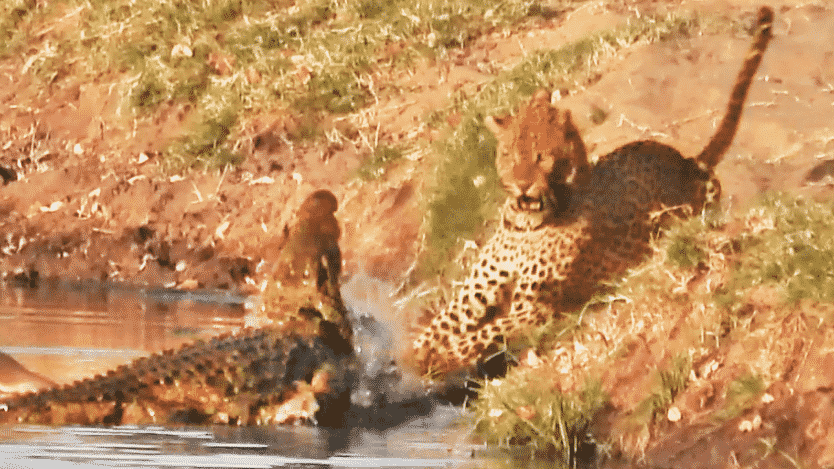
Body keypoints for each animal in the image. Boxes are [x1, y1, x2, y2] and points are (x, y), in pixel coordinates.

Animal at [412, 5, 772, 374]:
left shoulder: (535, 308)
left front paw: (444, 357)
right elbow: (436, 326)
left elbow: (482, 333)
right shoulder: (472, 294)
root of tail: (684, 159)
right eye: (510, 155)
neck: (525, 224)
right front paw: (418, 355)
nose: (523, 185)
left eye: (541, 156)